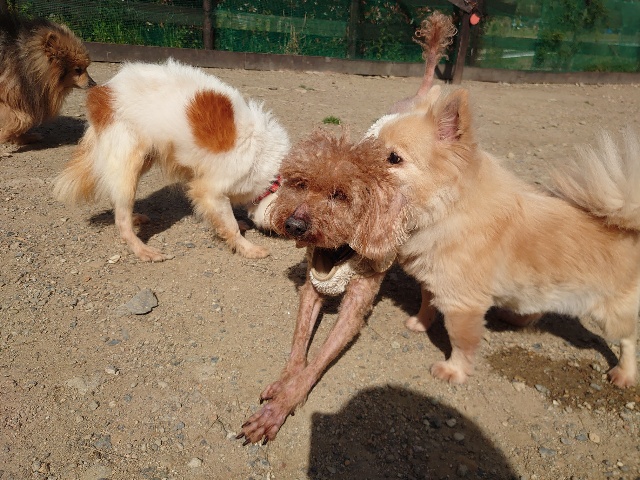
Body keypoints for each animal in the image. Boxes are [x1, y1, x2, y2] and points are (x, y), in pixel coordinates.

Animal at [0, 13, 95, 145]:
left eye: (86, 68)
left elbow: (22, 119)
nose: (93, 83)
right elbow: (23, 119)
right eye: (77, 70)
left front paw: (22, 137)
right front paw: (6, 134)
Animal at [53, 59, 290, 261]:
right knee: (122, 220)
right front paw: (247, 248)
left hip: (142, 159)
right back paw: (143, 250)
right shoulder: (209, 190)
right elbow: (228, 224)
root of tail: (102, 92)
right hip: (129, 162)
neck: (272, 172)